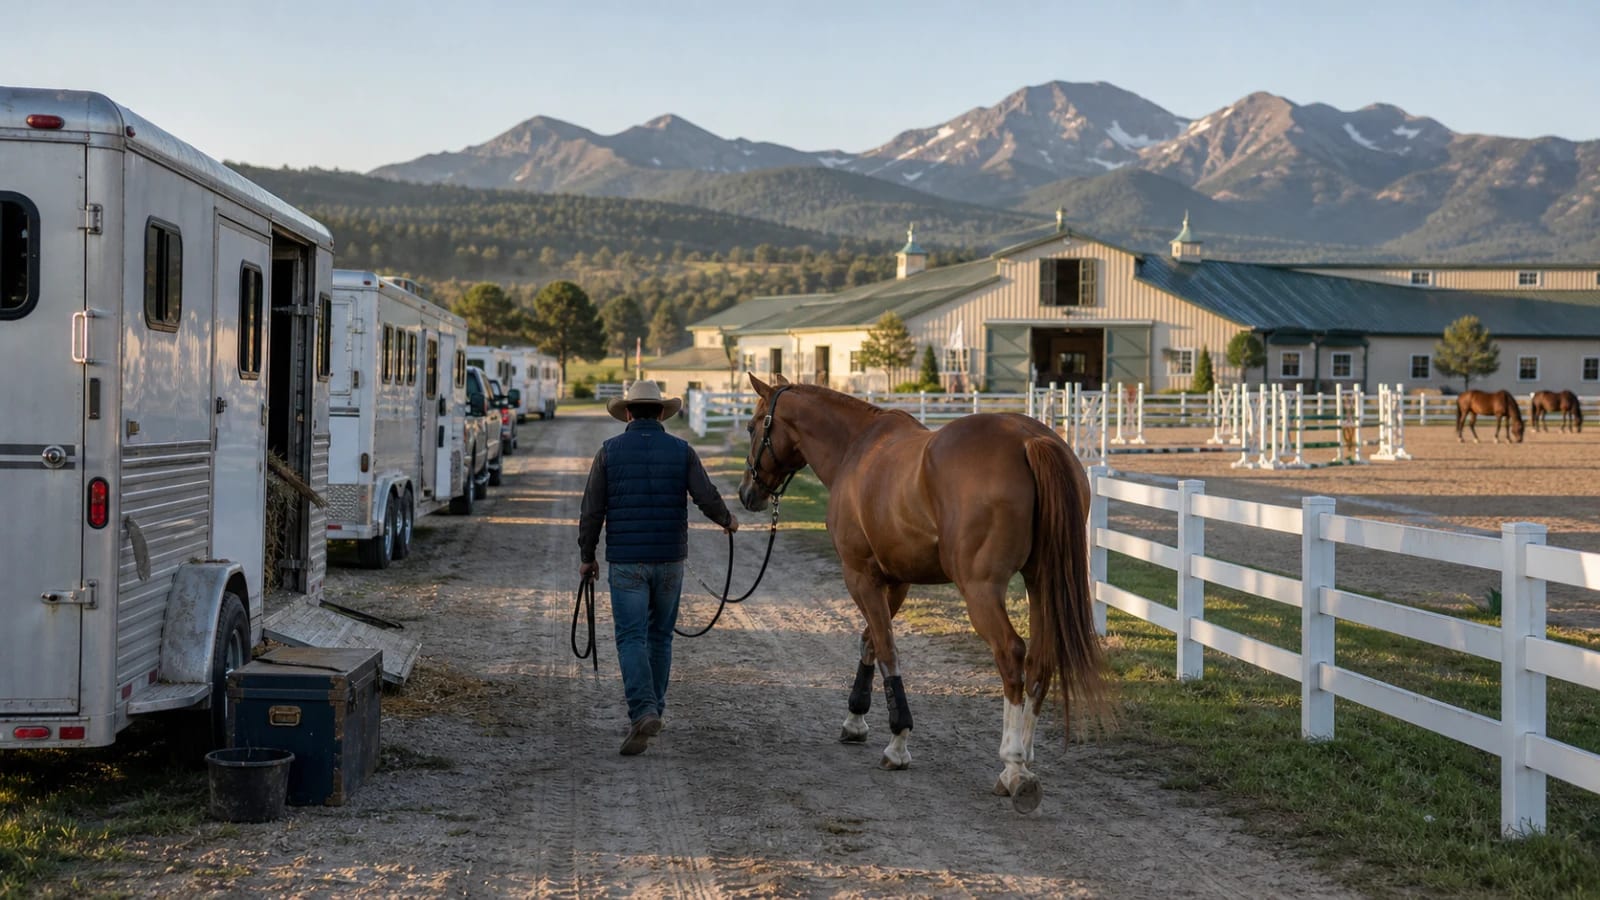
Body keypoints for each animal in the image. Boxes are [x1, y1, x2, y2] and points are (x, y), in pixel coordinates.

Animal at [737, 374, 1108, 813]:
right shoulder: (895, 580)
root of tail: (1028, 439)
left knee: (1011, 654)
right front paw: (855, 719)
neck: (856, 449)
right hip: (1040, 581)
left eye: (753, 427)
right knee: (1040, 657)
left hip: (981, 590)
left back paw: (1014, 765)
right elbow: (870, 642)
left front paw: (898, 741)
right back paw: (1026, 756)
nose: (746, 493)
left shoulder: (859, 575)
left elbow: (886, 648)